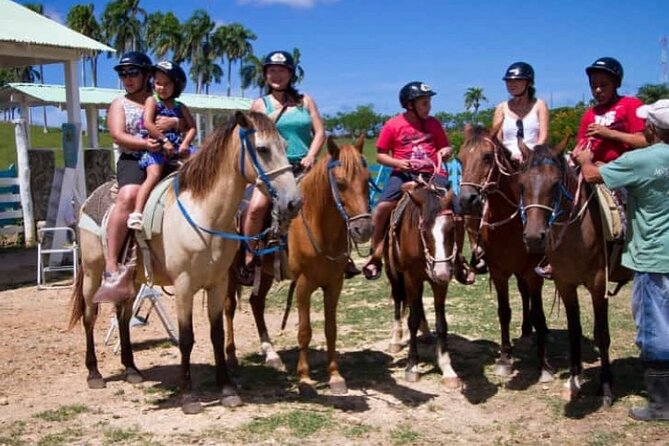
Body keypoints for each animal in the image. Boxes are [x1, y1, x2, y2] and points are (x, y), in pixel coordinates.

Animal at [68, 112, 300, 414]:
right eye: (262, 149)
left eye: (285, 145)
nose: (294, 202)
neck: (204, 215)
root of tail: (88, 200)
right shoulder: (184, 286)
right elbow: (187, 338)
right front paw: (189, 396)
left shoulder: (218, 283)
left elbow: (216, 333)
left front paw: (227, 389)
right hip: (93, 274)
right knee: (89, 317)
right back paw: (94, 373)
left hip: (132, 280)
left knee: (122, 316)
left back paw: (131, 369)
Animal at [223, 138, 370, 396]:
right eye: (341, 183)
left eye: (367, 180)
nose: (364, 229)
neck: (318, 225)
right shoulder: (303, 285)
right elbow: (304, 332)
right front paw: (305, 379)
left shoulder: (334, 284)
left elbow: (331, 329)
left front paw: (335, 376)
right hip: (231, 273)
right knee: (229, 308)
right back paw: (231, 359)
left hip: (266, 273)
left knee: (256, 303)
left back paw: (271, 354)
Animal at [384, 181, 462, 390]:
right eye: (424, 232)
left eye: (452, 229)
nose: (442, 273)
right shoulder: (411, 278)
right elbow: (411, 320)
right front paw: (412, 366)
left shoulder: (439, 283)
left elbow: (441, 324)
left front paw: (448, 369)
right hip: (395, 276)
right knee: (399, 302)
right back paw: (395, 340)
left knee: (417, 304)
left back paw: (425, 331)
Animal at [460, 126, 552, 384]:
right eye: (460, 158)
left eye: (487, 157)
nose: (466, 200)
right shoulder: (499, 272)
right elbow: (504, 312)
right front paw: (504, 359)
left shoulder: (533, 273)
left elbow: (539, 314)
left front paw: (544, 365)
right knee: (522, 294)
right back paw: (525, 332)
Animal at [520, 142, 612, 408]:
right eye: (522, 184)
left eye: (554, 184)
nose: (533, 237)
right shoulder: (565, 284)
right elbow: (573, 331)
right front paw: (573, 383)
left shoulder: (598, 285)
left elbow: (602, 335)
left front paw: (605, 388)